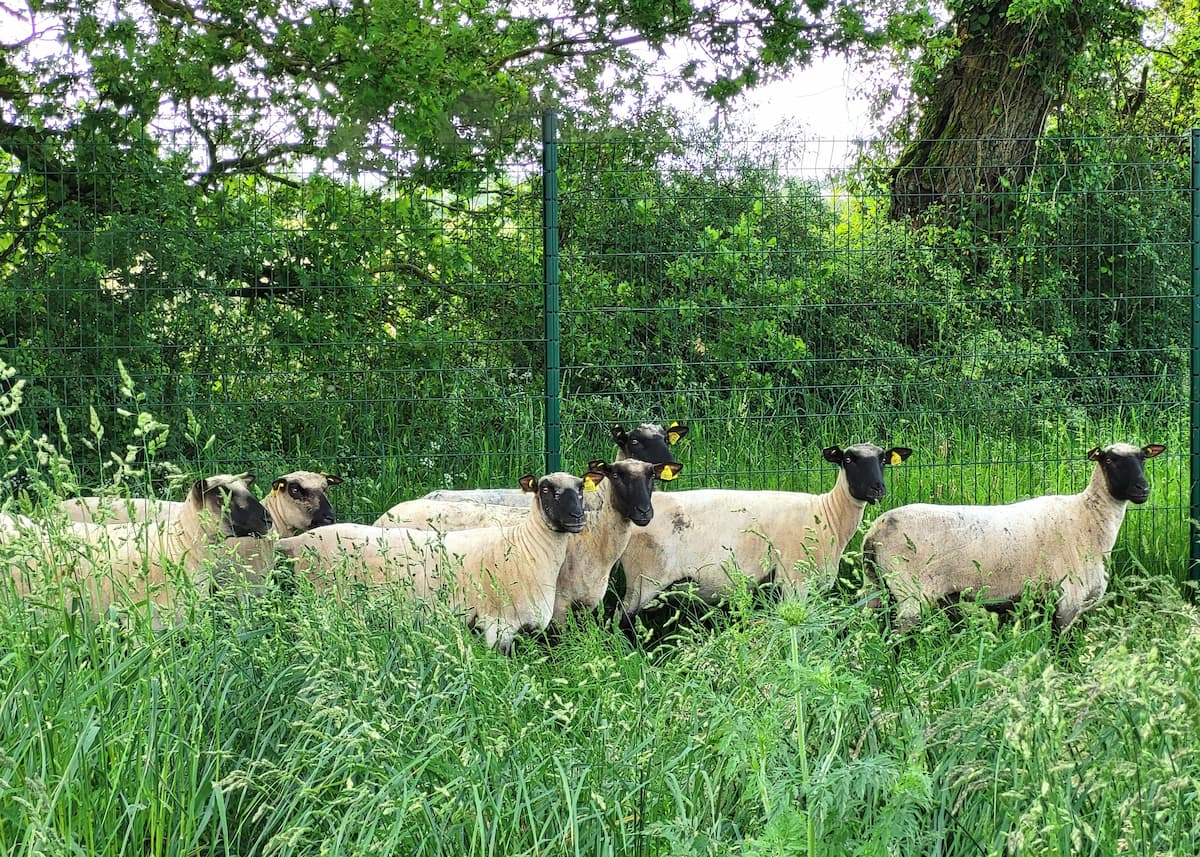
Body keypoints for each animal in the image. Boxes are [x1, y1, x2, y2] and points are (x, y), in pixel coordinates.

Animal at [276, 470, 605, 652]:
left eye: (580, 489)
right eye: (546, 489)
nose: (578, 517)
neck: (526, 546)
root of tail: (295, 543)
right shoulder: (497, 627)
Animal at [374, 459, 682, 623]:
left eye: (652, 476)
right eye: (617, 475)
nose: (645, 513)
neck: (595, 540)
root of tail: (385, 515)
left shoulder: (585, 605)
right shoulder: (558, 605)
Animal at [618, 443, 912, 617]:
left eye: (883, 460)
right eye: (849, 459)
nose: (877, 489)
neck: (827, 516)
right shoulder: (794, 582)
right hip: (644, 577)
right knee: (623, 617)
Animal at [861, 442, 1165, 632]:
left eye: (1142, 458)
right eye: (1110, 459)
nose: (1142, 489)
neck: (1086, 517)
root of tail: (876, 529)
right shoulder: (1068, 600)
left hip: (875, 587)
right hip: (910, 594)